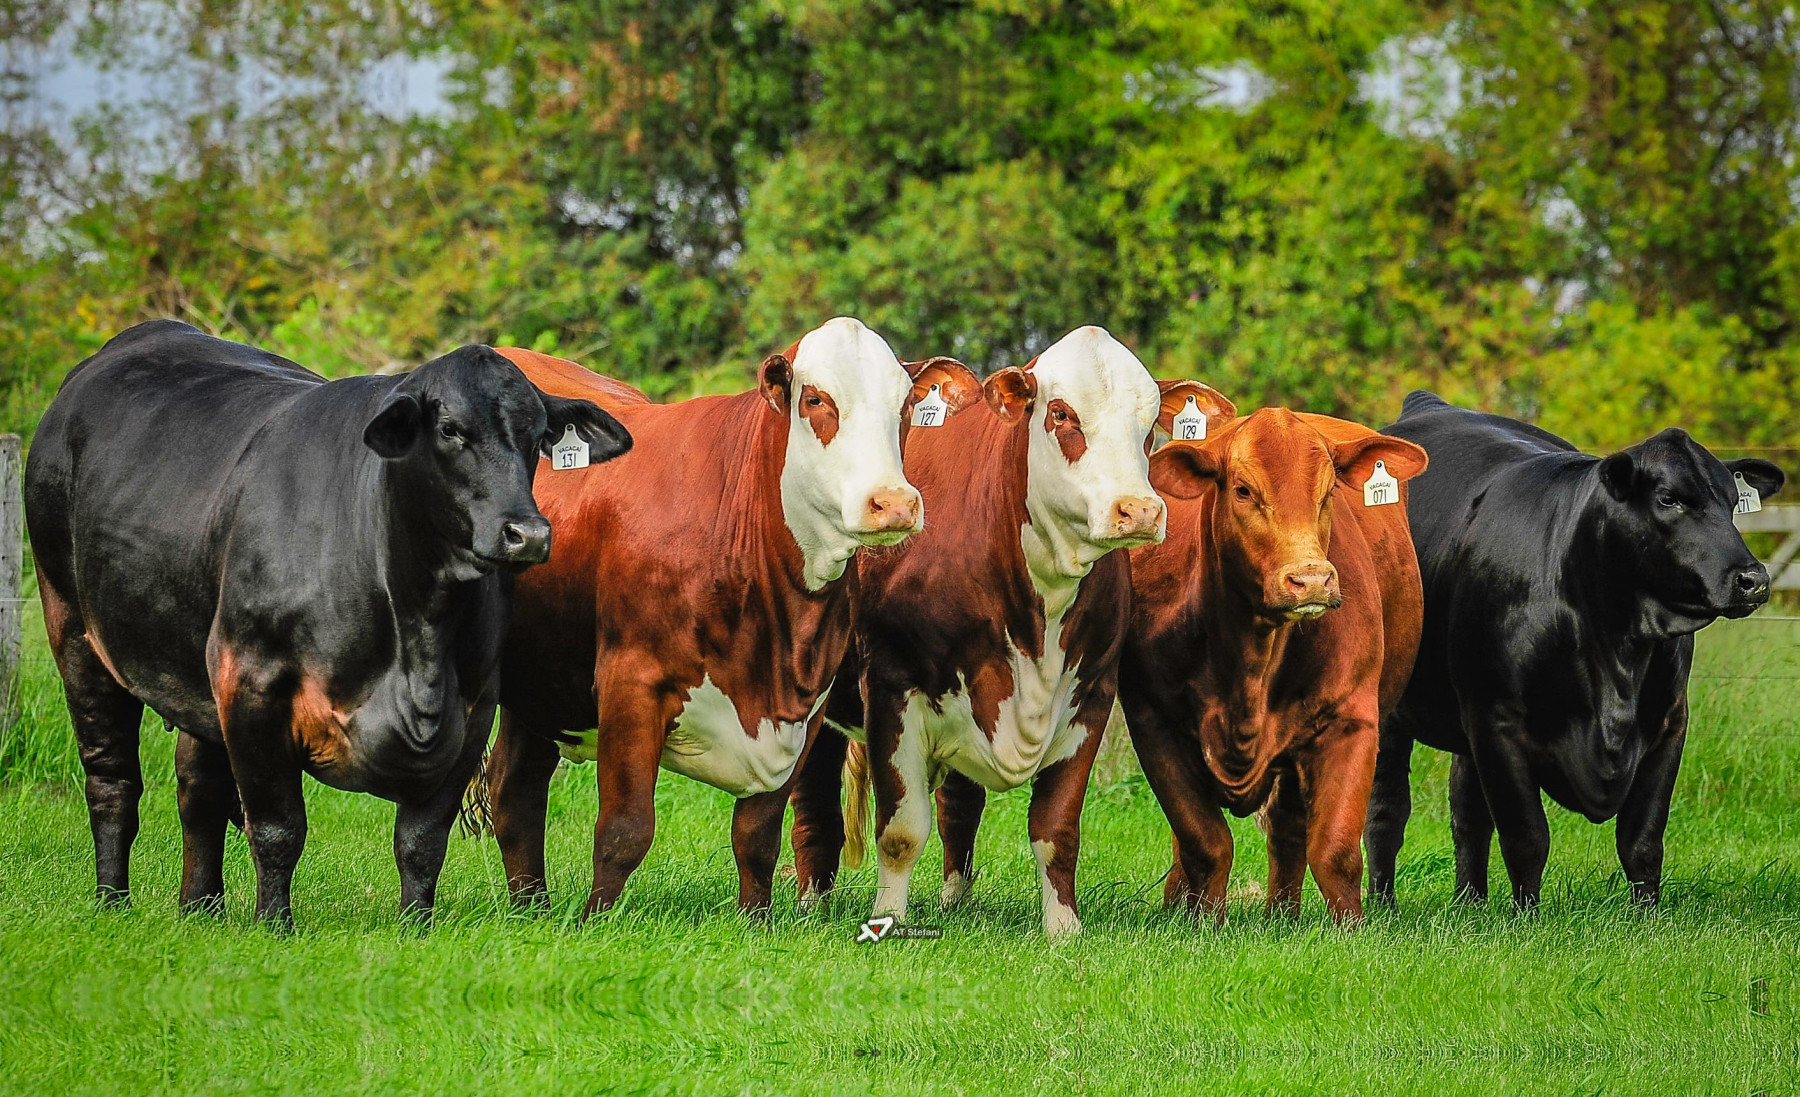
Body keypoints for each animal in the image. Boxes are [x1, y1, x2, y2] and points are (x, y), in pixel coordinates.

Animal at [23, 320, 628, 925]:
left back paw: (202, 908)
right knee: (112, 781)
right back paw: (112, 901)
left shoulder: (472, 709)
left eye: (539, 436)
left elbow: (421, 840)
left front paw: (416, 926)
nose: (529, 535)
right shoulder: (252, 683)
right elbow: (277, 828)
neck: (417, 638)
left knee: (199, 789)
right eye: (451, 430)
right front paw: (274, 926)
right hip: (74, 631)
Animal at [481, 317, 983, 917]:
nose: (894, 503)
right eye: (816, 399)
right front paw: (593, 920)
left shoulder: (805, 706)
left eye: (906, 404)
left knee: (516, 789)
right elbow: (625, 829)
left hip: (542, 682)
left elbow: (758, 833)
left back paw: (529, 907)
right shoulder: (631, 682)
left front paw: (756, 920)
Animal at [788, 326, 1230, 938]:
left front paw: (1063, 930)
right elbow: (901, 830)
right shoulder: (892, 688)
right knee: (815, 807)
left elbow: (1055, 829)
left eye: (1149, 425)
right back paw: (811, 902)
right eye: (1062, 413)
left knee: (958, 808)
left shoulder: (1091, 694)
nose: (1139, 510)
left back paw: (956, 902)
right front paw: (889, 920)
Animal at [1119, 407, 1428, 925]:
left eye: (1329, 491)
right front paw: (1205, 924)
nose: (1312, 579)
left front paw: (1351, 931)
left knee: (1288, 830)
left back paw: (1282, 915)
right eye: (1243, 490)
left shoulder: (1351, 720)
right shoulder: (1153, 723)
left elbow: (1335, 851)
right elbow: (1205, 842)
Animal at [1366, 391, 1784, 910]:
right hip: (1390, 703)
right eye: (1668, 499)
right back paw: (1382, 906)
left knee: (1467, 812)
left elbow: (1642, 839)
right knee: (1387, 813)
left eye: (1732, 503)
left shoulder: (1669, 722)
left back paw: (1470, 905)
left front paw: (1647, 916)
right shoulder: (1496, 719)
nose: (1753, 579)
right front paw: (1527, 917)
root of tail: (1428, 405)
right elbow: (1527, 837)